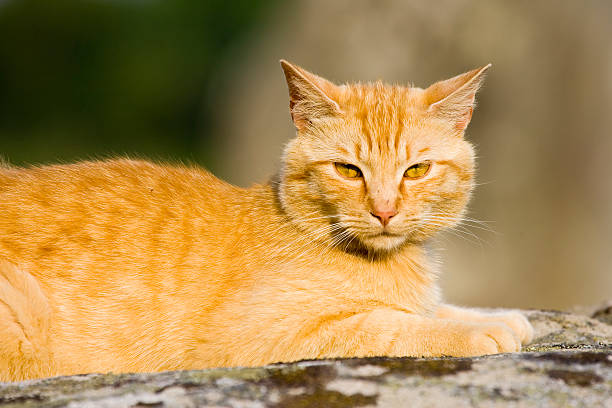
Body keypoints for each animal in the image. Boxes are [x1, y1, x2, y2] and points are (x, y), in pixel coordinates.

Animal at [0, 60, 532, 382]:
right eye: (348, 170)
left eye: (416, 170)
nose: (384, 210)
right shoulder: (257, 339)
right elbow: (388, 324)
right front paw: (475, 332)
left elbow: (431, 308)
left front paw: (498, 316)